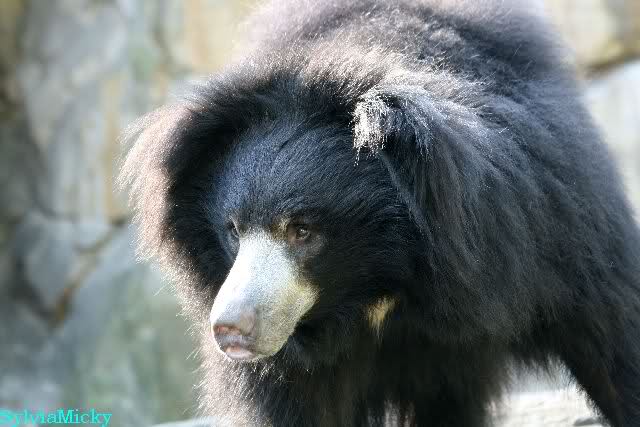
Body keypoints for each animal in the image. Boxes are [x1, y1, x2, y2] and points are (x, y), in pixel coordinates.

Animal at [119, 0, 640, 426]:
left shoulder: (550, 228)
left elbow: (614, 336)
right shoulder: (288, 362)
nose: (230, 329)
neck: (379, 282)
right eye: (233, 230)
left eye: (302, 230)